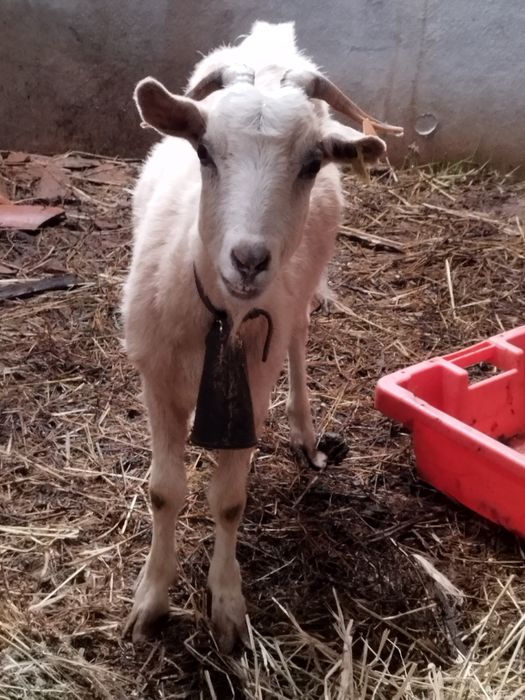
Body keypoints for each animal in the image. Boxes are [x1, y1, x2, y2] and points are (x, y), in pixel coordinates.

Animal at [122, 20, 401, 652]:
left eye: (311, 163)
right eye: (203, 150)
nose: (248, 260)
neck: (220, 318)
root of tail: (272, 41)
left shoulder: (251, 384)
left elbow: (228, 501)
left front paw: (226, 607)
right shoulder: (155, 377)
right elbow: (164, 491)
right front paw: (150, 602)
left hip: (302, 284)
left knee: (299, 335)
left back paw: (305, 432)